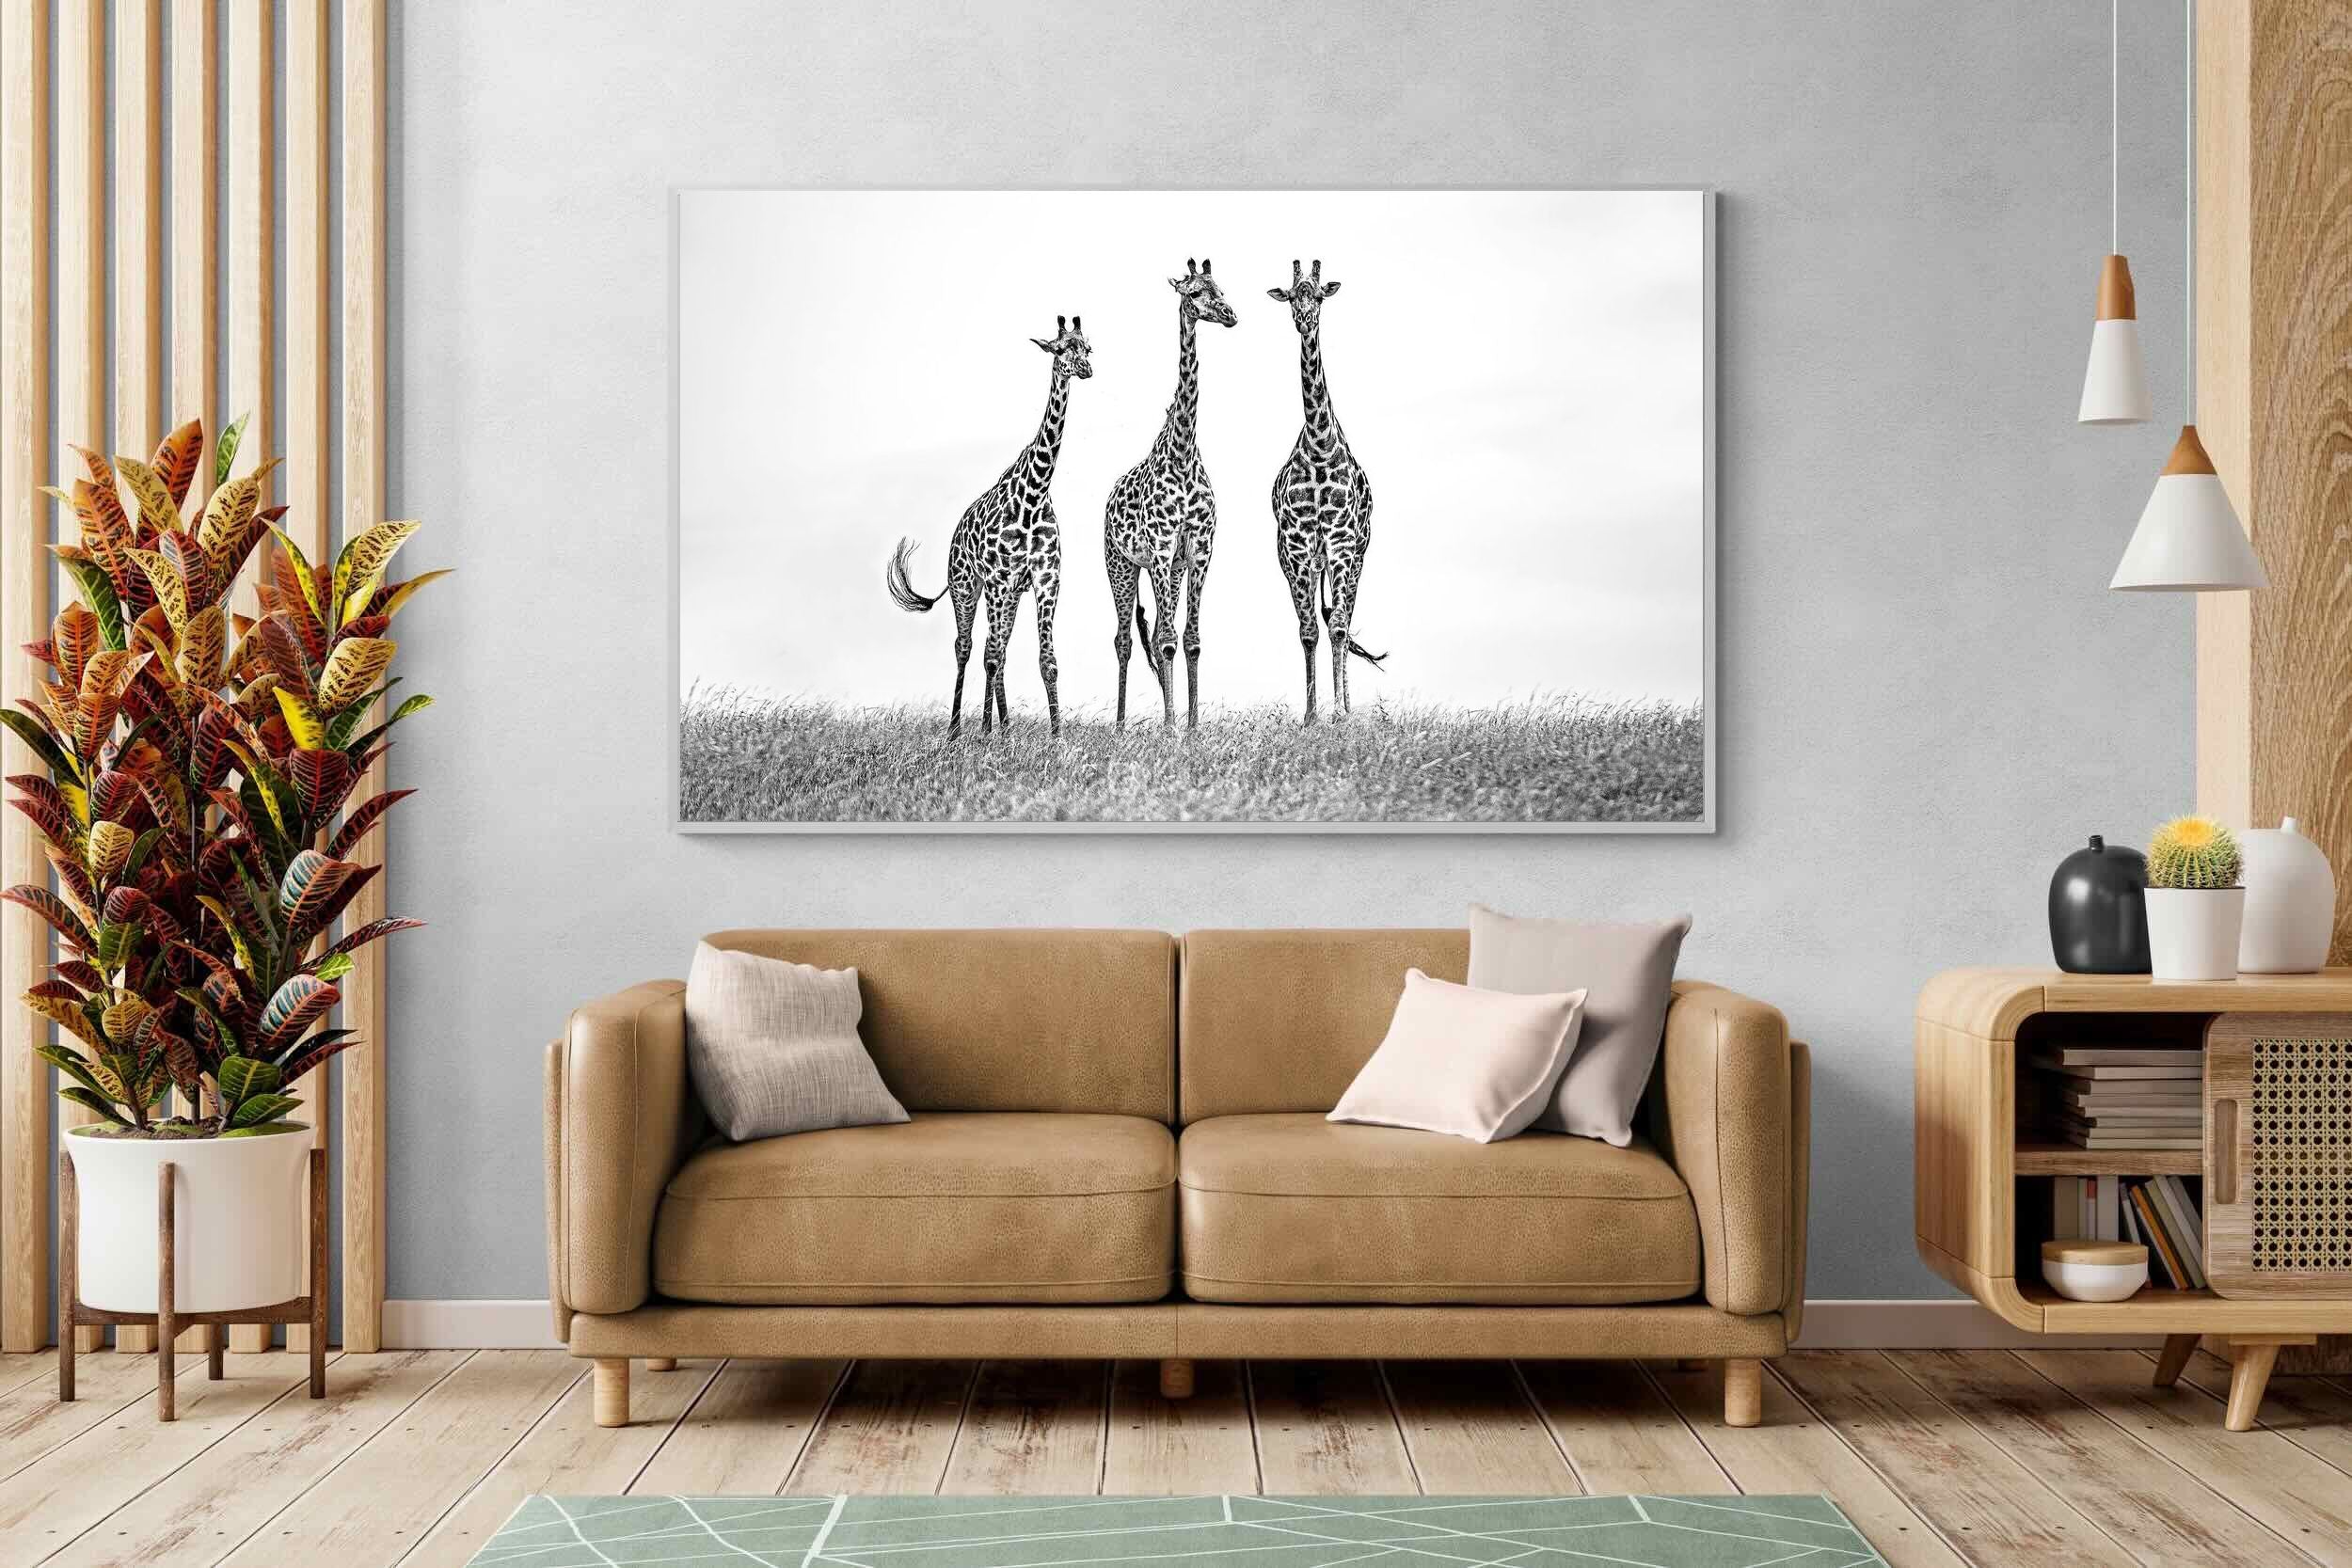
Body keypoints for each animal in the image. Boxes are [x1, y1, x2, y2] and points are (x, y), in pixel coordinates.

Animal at [886, 315, 1092, 737]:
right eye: (1061, 348)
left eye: (1088, 347)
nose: (1085, 369)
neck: (1035, 492)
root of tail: (955, 534)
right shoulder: (997, 580)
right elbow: (990, 655)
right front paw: (985, 733)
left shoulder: (1045, 580)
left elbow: (1048, 661)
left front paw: (1057, 737)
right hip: (967, 588)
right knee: (967, 648)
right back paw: (957, 730)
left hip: (1009, 595)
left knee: (997, 650)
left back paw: (1004, 727)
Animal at [1103, 257, 1237, 728]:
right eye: (1194, 293)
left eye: (1221, 288)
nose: (1230, 315)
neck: (1182, 455)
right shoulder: (1160, 548)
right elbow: (1164, 640)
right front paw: (1171, 726)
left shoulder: (1197, 550)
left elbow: (1190, 639)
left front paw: (1192, 725)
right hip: (1121, 565)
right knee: (1124, 638)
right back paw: (1122, 724)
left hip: (1170, 571)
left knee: (1161, 631)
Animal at [1267, 259, 1384, 723]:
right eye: (1290, 296)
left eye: (1317, 295)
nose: (1305, 319)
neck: (1319, 446)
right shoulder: (1298, 546)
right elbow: (1308, 631)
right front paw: (1311, 715)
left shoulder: (1342, 542)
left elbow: (1337, 628)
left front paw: (1340, 715)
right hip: (1306, 561)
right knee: (1326, 618)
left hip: (1356, 556)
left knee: (1344, 620)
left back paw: (1348, 706)